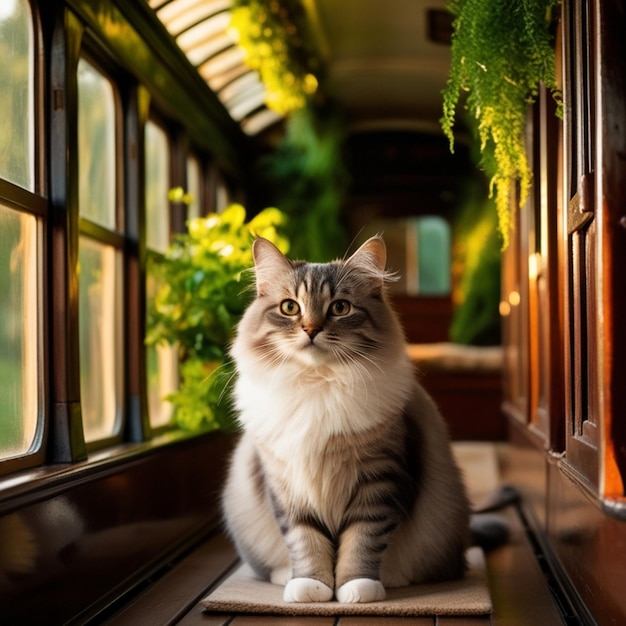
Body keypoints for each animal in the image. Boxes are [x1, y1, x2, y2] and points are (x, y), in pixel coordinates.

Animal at [219, 234, 468, 600]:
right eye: (290, 307)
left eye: (339, 308)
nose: (311, 329)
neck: (317, 385)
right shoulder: (287, 487)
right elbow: (305, 542)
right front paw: (312, 587)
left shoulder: (379, 480)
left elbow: (361, 542)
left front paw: (356, 588)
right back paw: (285, 577)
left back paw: (391, 579)